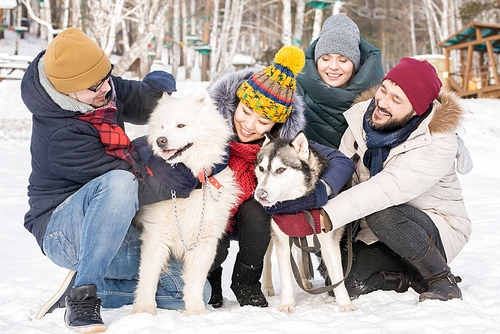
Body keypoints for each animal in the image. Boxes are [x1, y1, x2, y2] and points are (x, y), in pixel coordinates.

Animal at [130, 86, 237, 316]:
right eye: (162, 126)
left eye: (181, 125)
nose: (161, 140)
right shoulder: (156, 235)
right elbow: (148, 277)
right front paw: (143, 311)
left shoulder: (204, 241)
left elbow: (196, 281)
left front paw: (195, 312)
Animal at [254, 130, 356, 314]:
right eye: (261, 168)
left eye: (281, 170)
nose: (260, 194)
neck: (297, 205)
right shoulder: (282, 239)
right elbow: (286, 277)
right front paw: (286, 304)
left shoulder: (329, 241)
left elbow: (337, 275)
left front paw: (345, 304)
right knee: (267, 258)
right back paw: (268, 286)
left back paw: (304, 279)